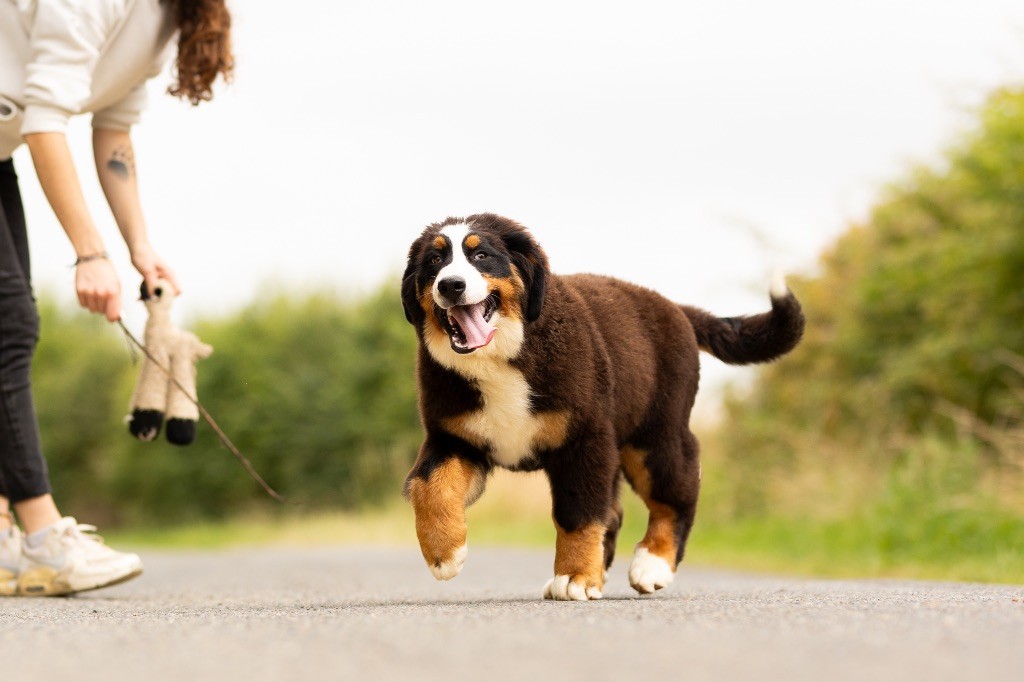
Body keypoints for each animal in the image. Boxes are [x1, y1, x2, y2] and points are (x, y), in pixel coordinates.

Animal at [399, 214, 806, 602]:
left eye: (481, 254)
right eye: (434, 261)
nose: (450, 285)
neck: (501, 359)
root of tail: (675, 308)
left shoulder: (585, 439)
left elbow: (577, 513)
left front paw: (576, 577)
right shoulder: (454, 438)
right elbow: (427, 485)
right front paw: (444, 554)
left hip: (655, 439)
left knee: (676, 497)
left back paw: (653, 564)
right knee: (615, 509)